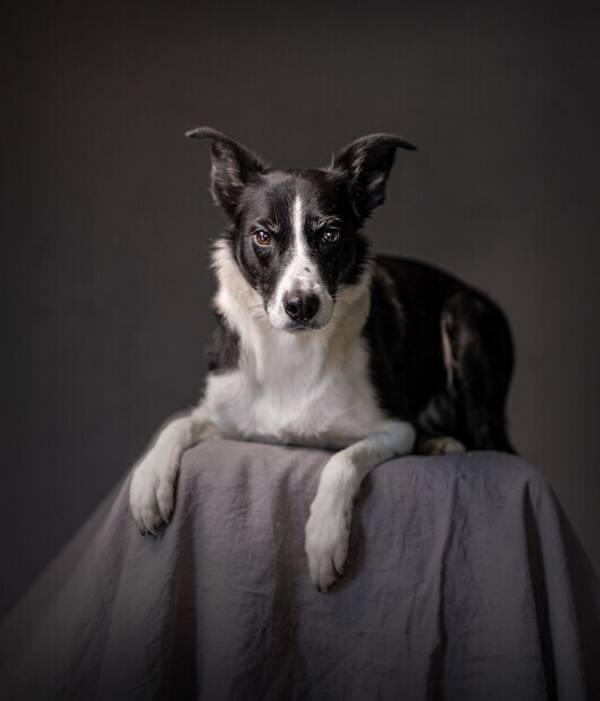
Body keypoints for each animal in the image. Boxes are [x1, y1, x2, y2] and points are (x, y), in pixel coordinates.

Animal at [129, 127, 512, 592]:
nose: (301, 305)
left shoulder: (395, 428)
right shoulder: (228, 413)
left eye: (330, 233)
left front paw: (325, 540)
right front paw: (148, 483)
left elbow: (341, 460)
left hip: (464, 318)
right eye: (263, 236)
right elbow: (178, 423)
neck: (290, 351)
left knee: (489, 443)